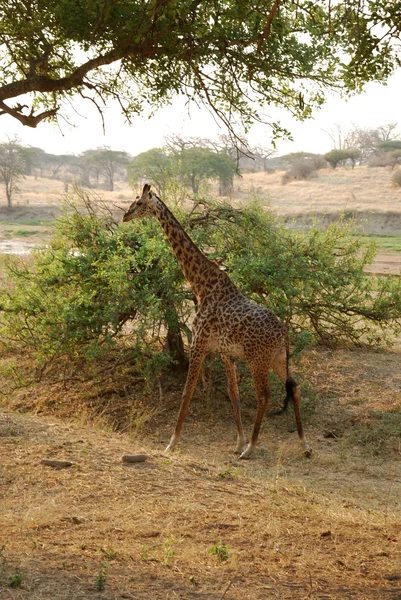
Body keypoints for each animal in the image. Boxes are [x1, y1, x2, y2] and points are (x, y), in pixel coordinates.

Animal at [123, 184, 310, 460]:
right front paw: (238, 442)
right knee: (294, 387)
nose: (125, 216)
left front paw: (172, 443)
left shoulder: (198, 344)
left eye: (138, 202)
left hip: (257, 359)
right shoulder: (226, 353)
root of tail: (284, 333)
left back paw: (253, 448)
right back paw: (303, 445)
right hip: (278, 358)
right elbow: (234, 395)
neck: (201, 284)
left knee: (264, 395)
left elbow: (187, 391)